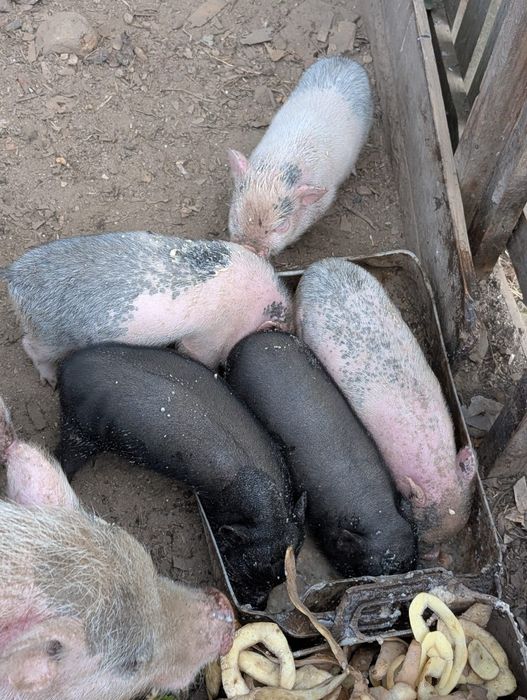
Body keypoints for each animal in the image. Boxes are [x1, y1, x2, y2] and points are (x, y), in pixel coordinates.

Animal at [0, 232, 292, 387]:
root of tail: (13, 272)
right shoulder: (210, 337)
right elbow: (198, 356)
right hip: (51, 333)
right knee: (31, 347)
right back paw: (50, 381)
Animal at [56, 343, 306, 608]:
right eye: (246, 570)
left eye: (282, 579)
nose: (257, 604)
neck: (270, 517)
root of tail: (65, 369)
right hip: (79, 432)